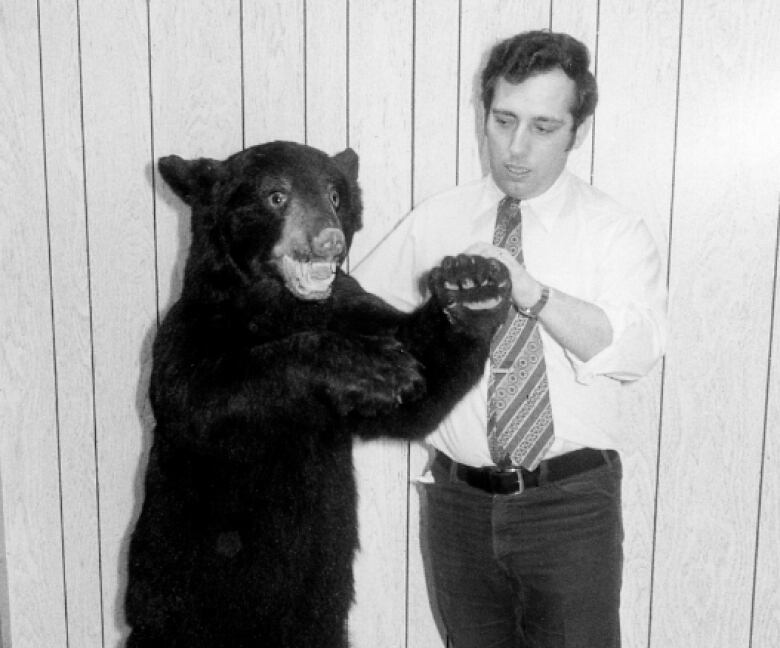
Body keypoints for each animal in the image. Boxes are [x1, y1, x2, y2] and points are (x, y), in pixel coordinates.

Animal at [126, 143, 512, 648]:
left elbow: (417, 390)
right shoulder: (189, 332)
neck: (286, 308)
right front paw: (372, 365)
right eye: (276, 196)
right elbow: (207, 398)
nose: (330, 240)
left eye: (334, 194)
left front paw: (471, 285)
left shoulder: (350, 306)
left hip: (321, 613)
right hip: (172, 597)